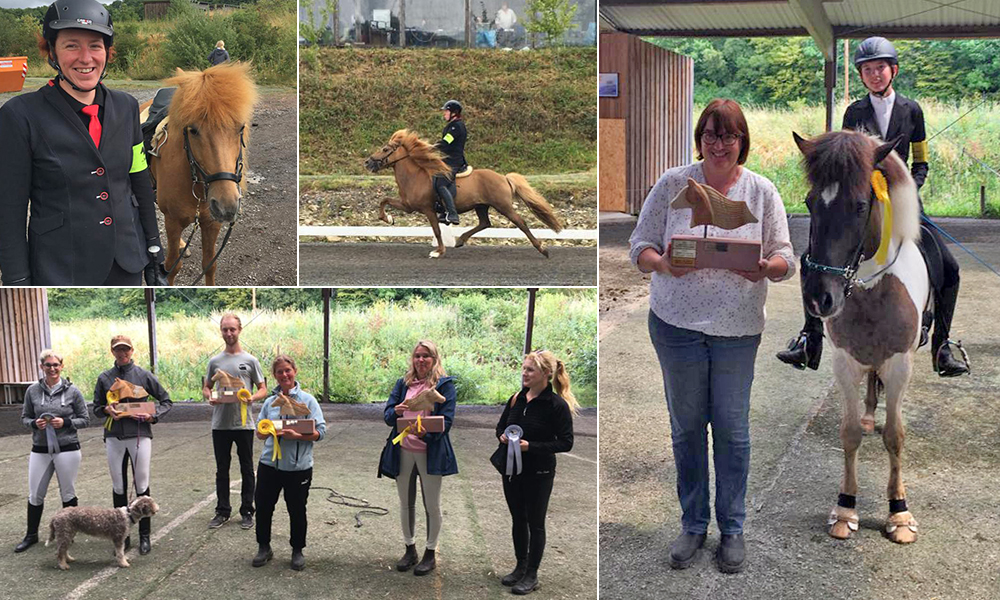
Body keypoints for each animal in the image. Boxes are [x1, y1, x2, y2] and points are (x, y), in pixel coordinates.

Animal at [141, 63, 258, 286]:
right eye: (193, 130)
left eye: (240, 128)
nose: (226, 206)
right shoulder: (172, 221)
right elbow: (172, 267)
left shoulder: (211, 223)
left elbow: (209, 265)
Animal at [364, 130, 564, 256]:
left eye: (385, 149)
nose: (368, 162)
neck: (415, 176)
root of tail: (504, 177)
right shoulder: (408, 206)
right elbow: (384, 200)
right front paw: (388, 219)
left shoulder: (428, 209)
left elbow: (437, 230)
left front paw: (438, 252)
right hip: (481, 206)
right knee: (485, 223)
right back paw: (460, 240)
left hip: (503, 206)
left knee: (520, 223)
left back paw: (543, 250)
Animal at [796, 131, 928, 544]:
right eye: (810, 202)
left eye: (859, 206)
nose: (820, 298)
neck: (870, 289)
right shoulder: (844, 363)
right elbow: (850, 432)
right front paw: (845, 508)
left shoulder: (900, 364)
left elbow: (896, 436)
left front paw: (899, 512)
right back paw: (872, 415)